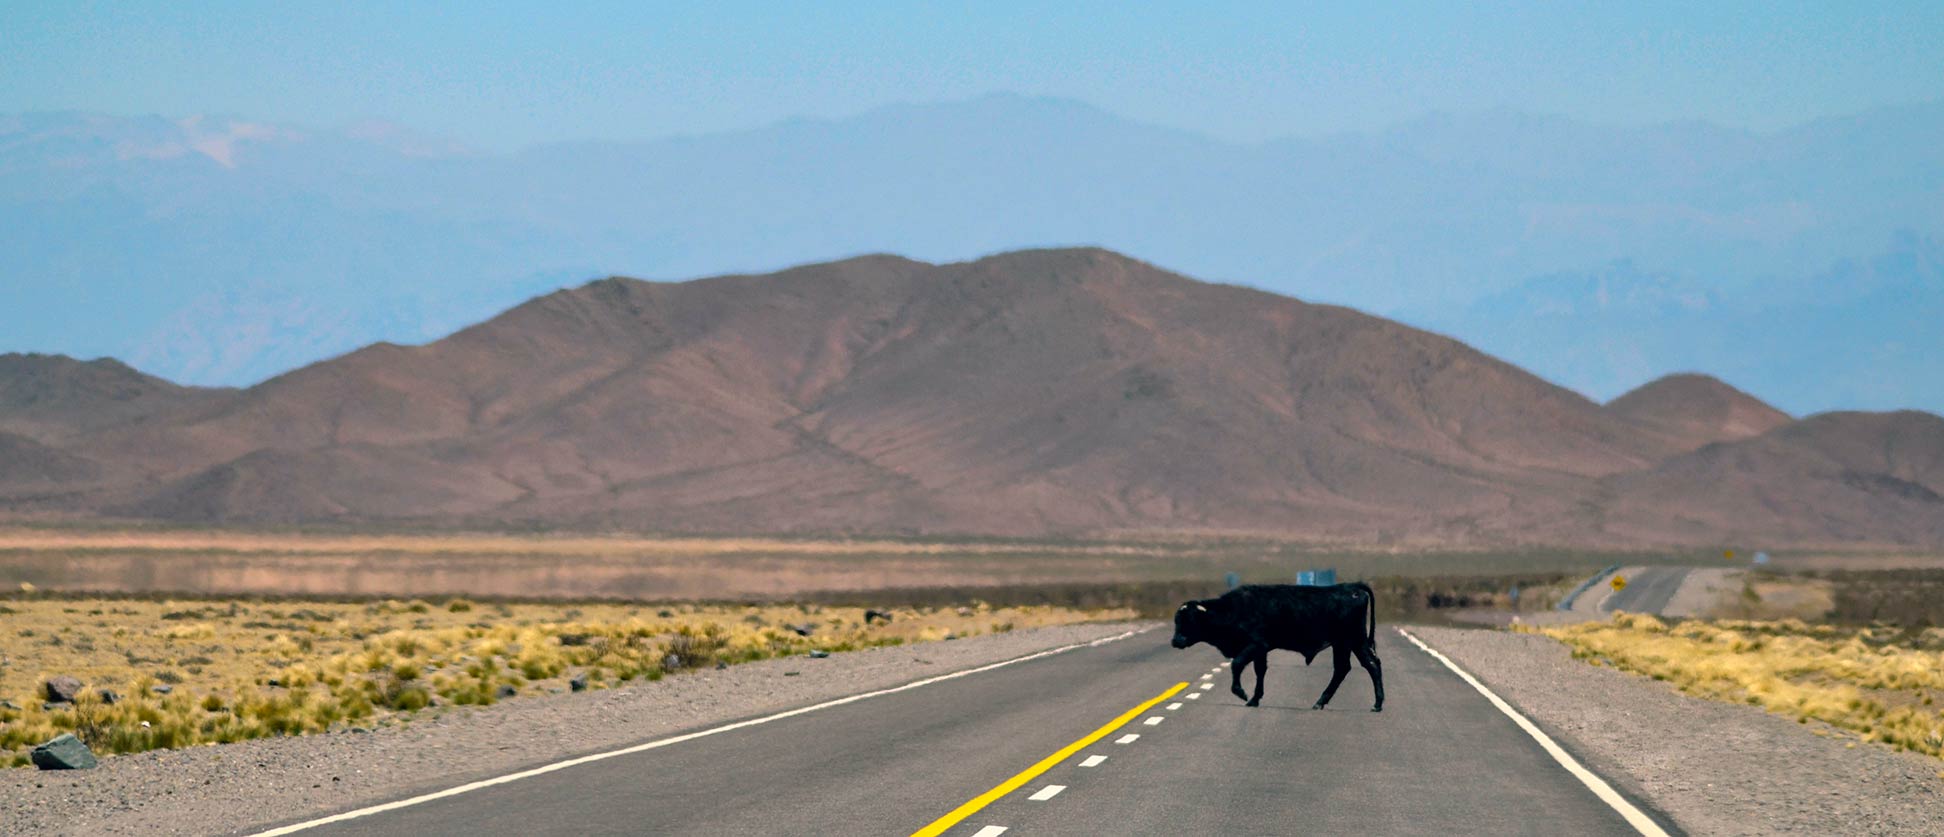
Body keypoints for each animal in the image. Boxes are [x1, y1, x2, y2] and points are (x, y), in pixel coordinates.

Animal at [1166, 582, 1384, 714]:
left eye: (1191, 619)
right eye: (1177, 620)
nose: (1176, 641)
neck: (1233, 609)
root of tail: (1352, 587)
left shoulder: (1255, 645)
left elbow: (1237, 665)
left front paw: (1242, 693)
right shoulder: (1261, 651)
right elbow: (1260, 671)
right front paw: (1254, 699)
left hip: (1352, 641)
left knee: (1368, 665)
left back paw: (1376, 704)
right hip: (1345, 644)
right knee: (1348, 668)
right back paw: (1323, 702)